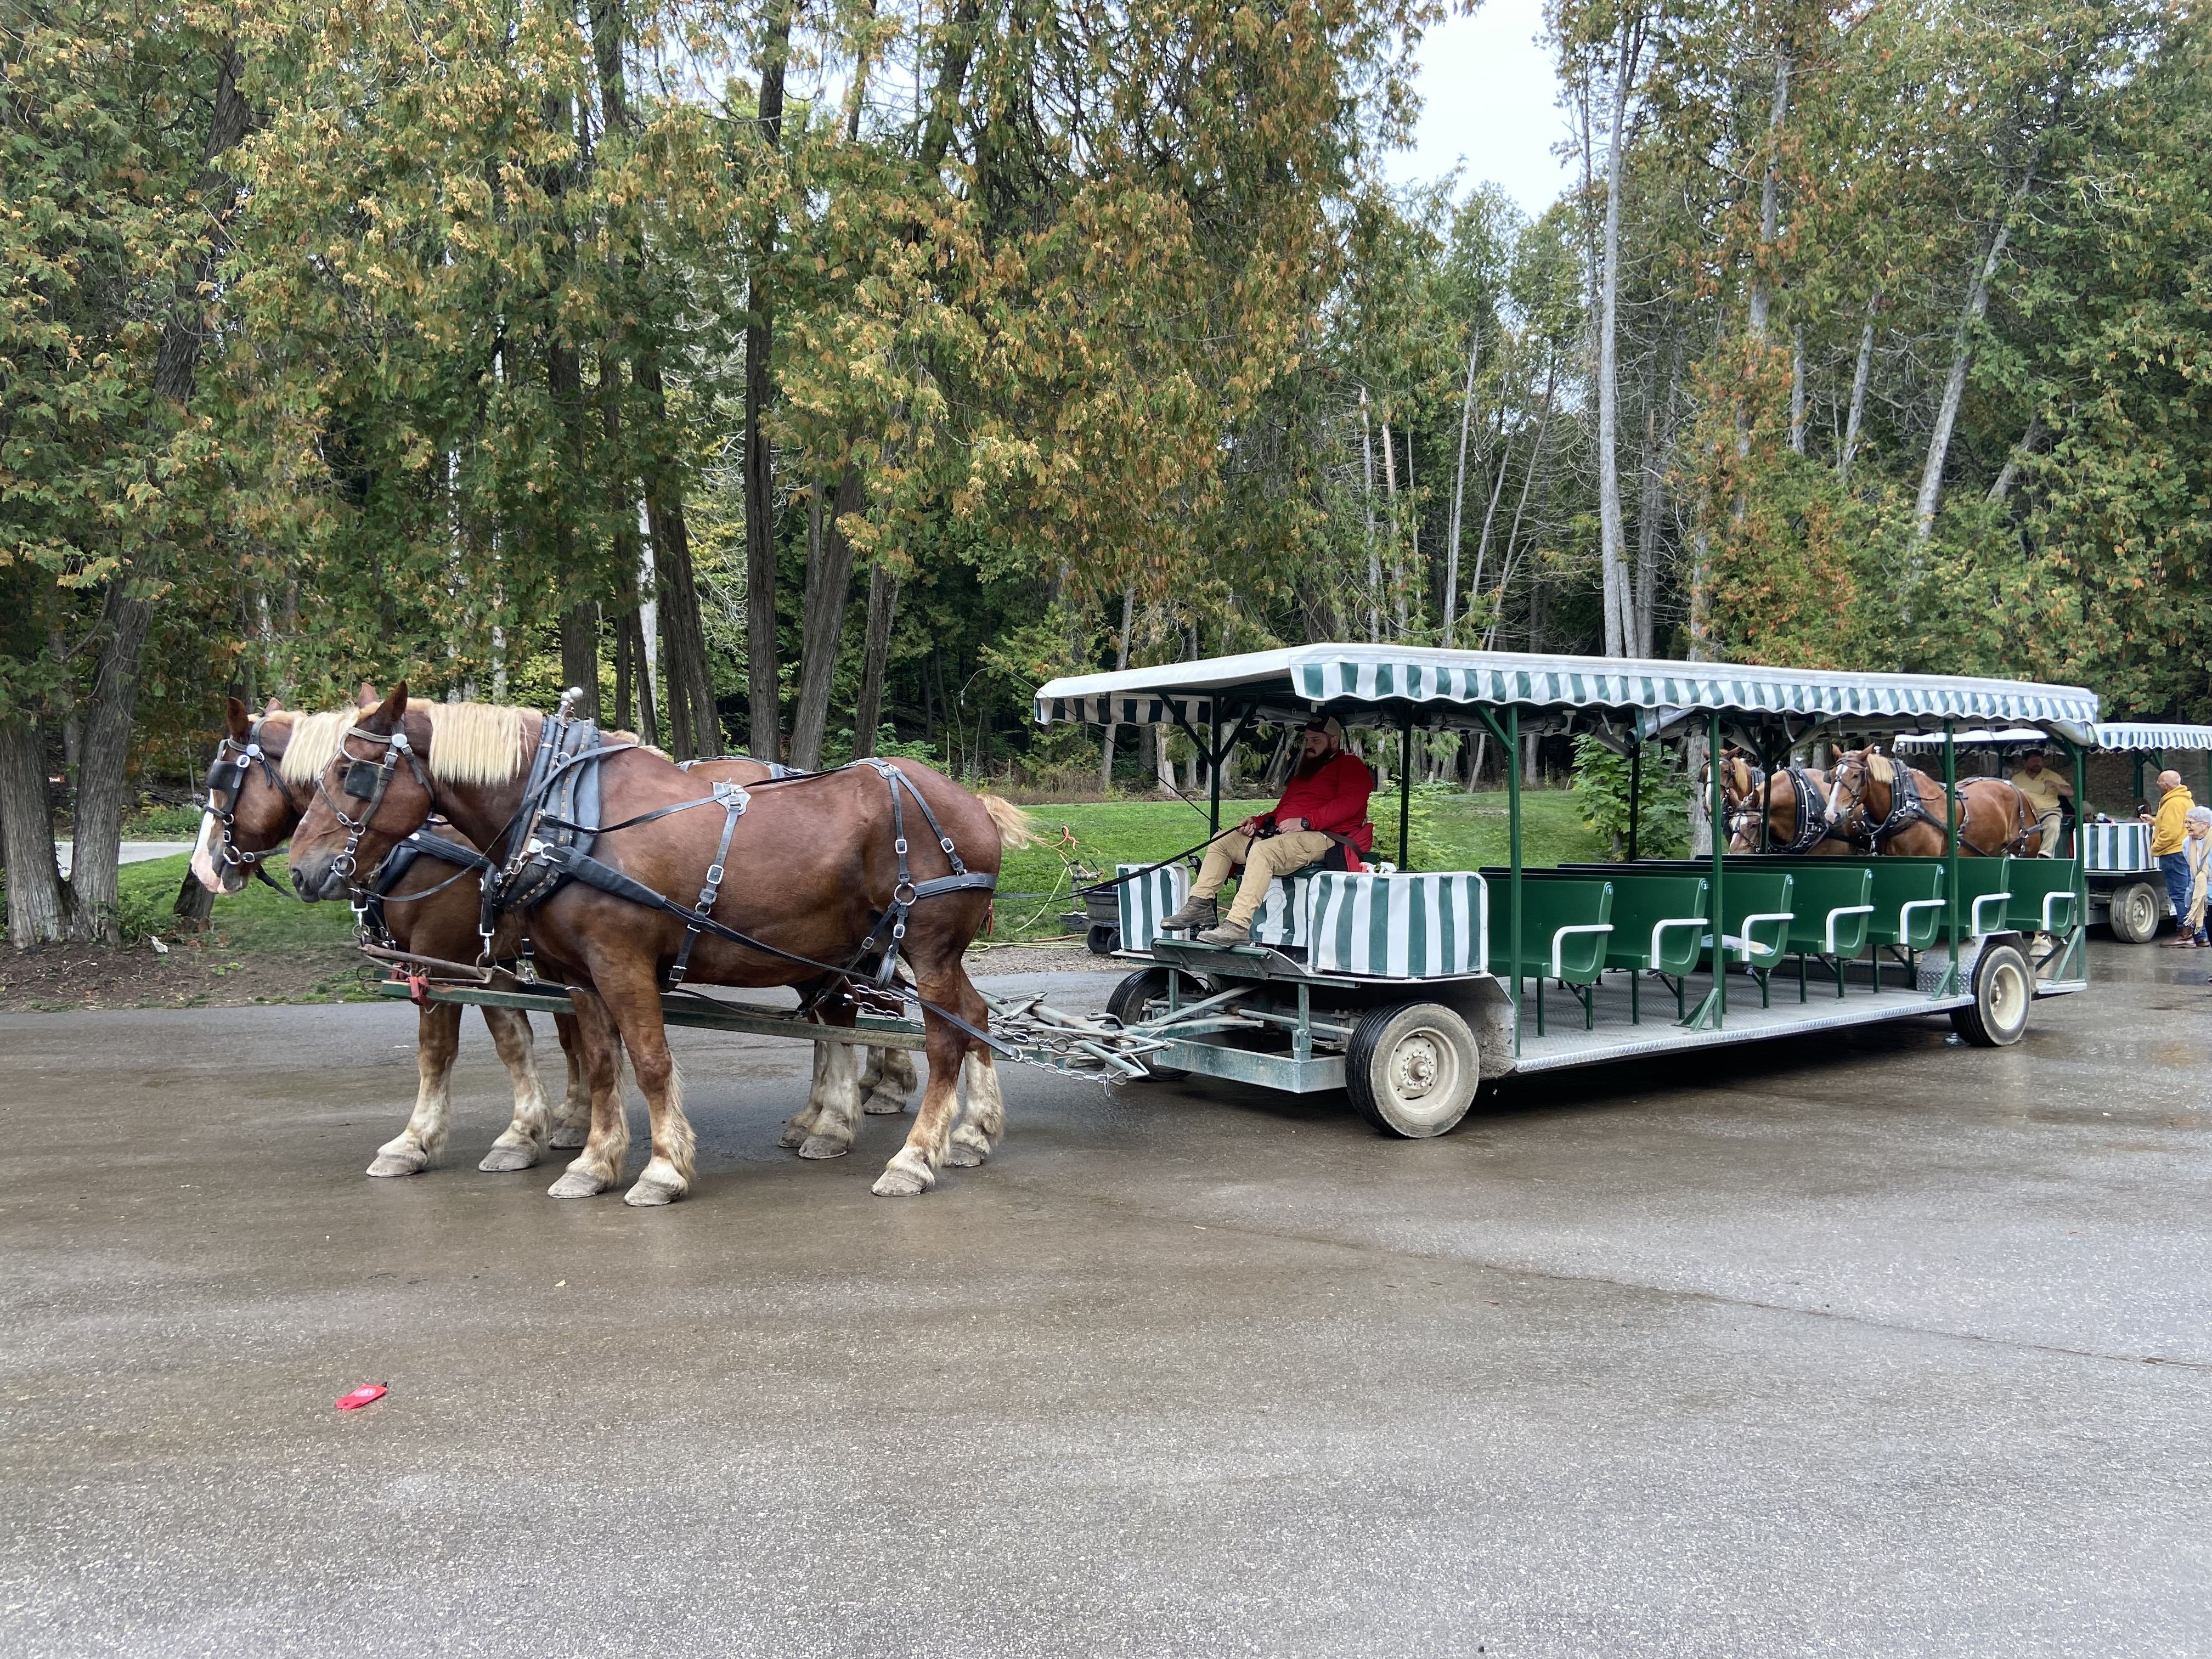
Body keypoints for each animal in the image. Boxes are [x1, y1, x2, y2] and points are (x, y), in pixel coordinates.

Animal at [283, 685, 1032, 1204]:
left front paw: (663, 1170)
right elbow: (599, 1064)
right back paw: (970, 1134)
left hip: (926, 950)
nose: (303, 871)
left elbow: (647, 1062)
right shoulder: (576, 974)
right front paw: (592, 1162)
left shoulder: (617, 964)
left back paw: (913, 1157)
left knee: (943, 1041)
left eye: (352, 774)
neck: (568, 816)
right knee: (974, 1019)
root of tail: (971, 802)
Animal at [1825, 748, 2039, 858]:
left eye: (1856, 775)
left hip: (2027, 853)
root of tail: (2021, 792)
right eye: (1832, 775)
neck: (1907, 806)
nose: (1831, 814)